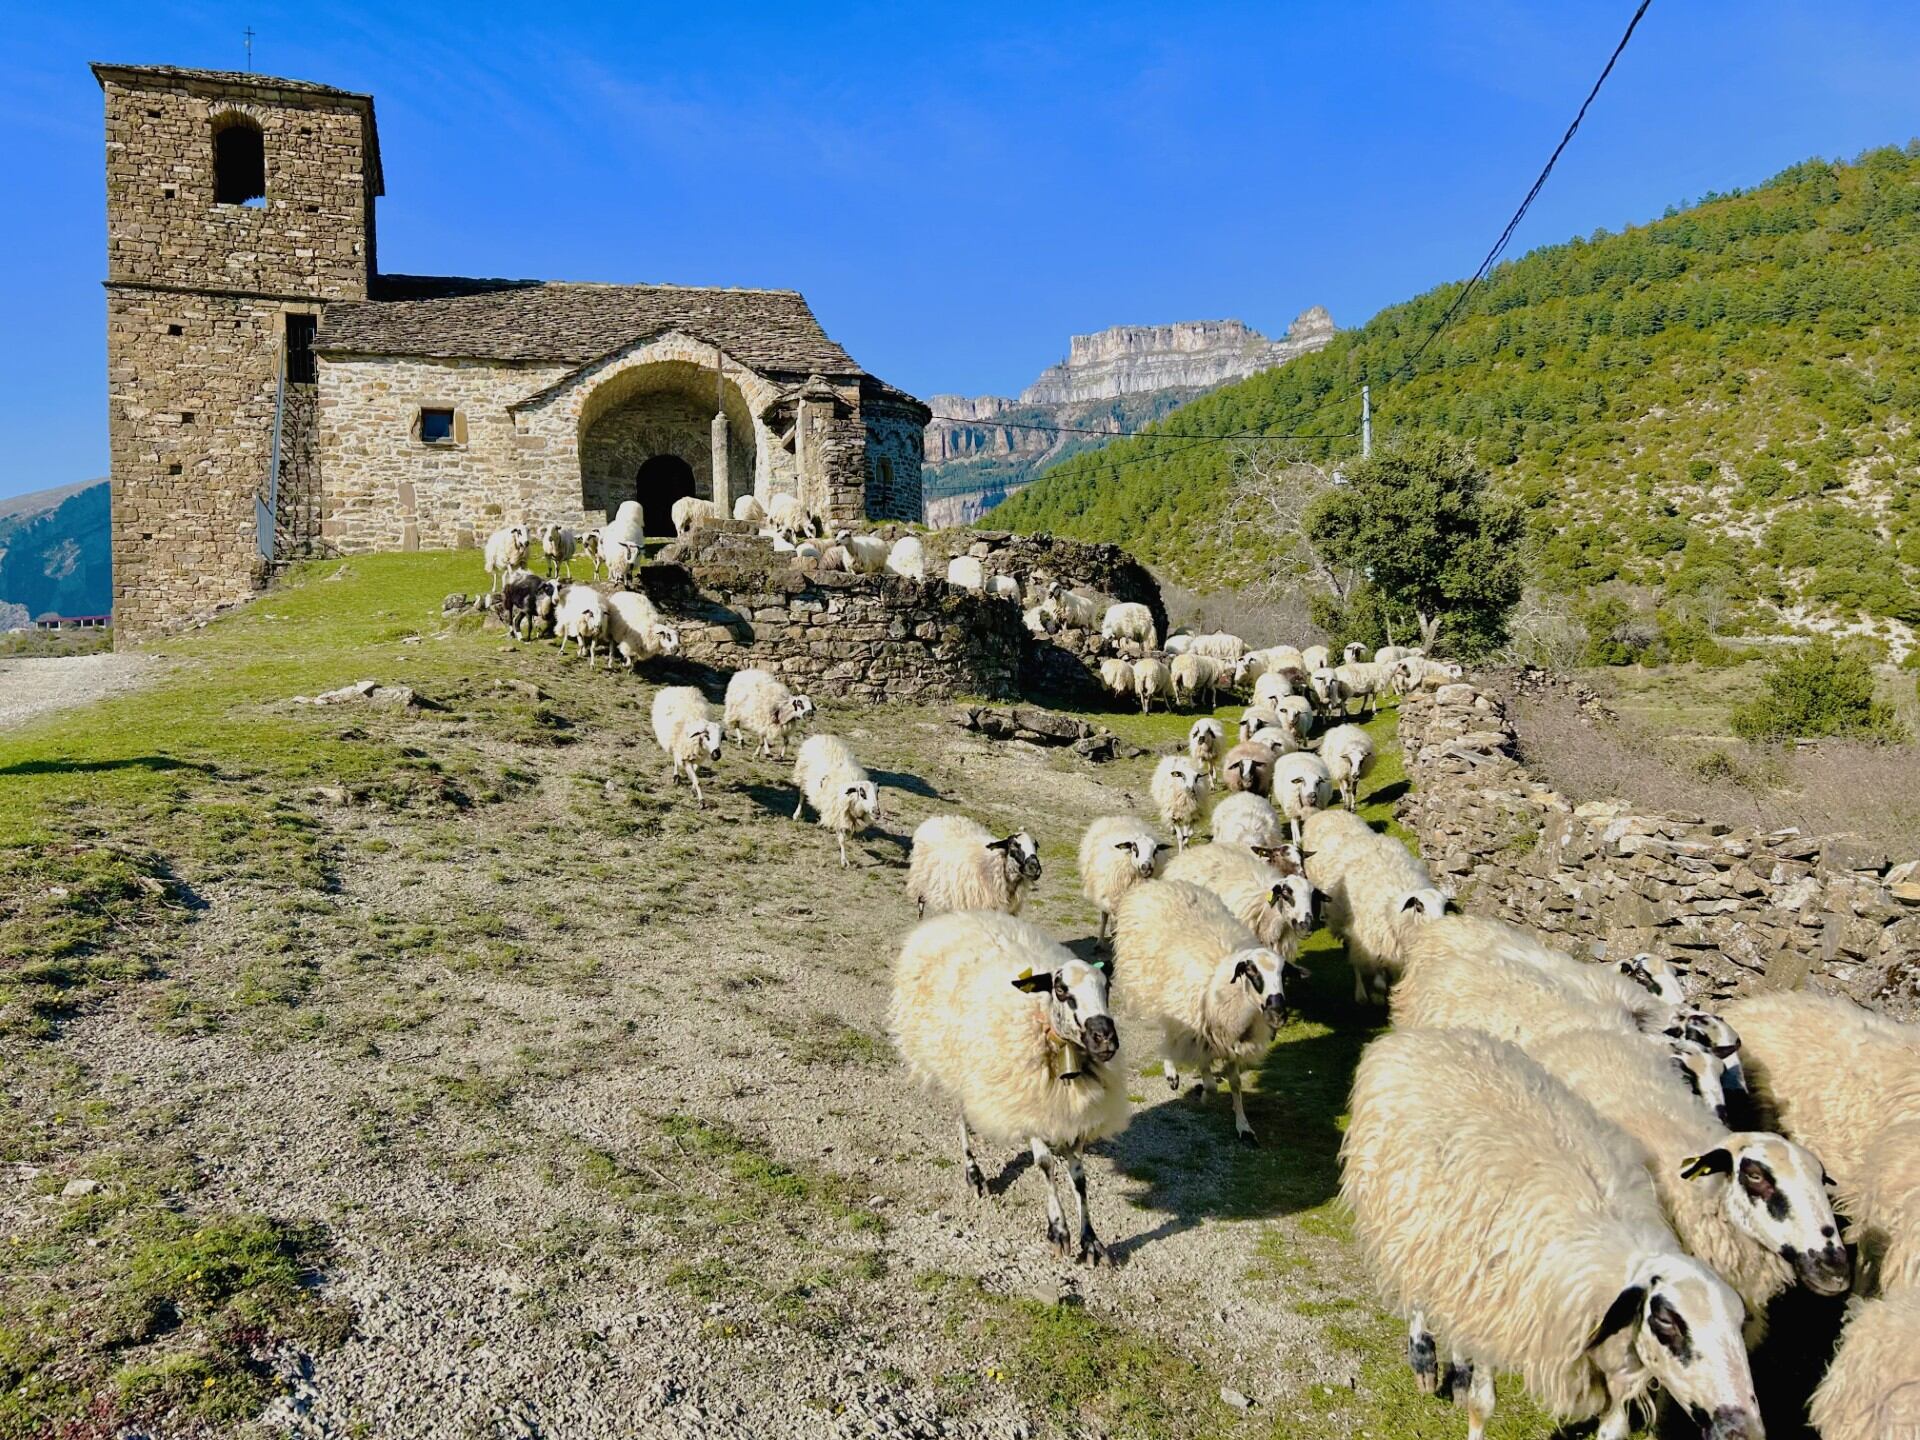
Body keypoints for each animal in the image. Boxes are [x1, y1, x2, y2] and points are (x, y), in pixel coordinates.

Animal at [791, 734, 879, 868]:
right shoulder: (837, 813)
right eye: (862, 794)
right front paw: (844, 861)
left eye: (877, 793)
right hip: (802, 775)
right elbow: (842, 840)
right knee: (801, 795)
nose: (876, 812)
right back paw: (797, 814)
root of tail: (820, 735)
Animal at [889, 911, 1127, 1263]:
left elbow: (1080, 1178)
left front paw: (1091, 1241)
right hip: (952, 1062)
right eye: (1060, 989)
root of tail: (955, 917)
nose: (1105, 1038)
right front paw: (1058, 1230)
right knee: (960, 1116)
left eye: (1107, 987)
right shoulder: (1030, 1105)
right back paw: (974, 1173)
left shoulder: (1073, 1115)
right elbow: (1045, 1165)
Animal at [907, 815, 1042, 918]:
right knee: (921, 905)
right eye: (1014, 846)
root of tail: (934, 820)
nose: (1035, 868)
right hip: (921, 881)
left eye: (1036, 847)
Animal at [1111, 879, 1305, 1144]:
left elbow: (1235, 1083)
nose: (1278, 1013)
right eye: (1251, 971)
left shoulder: (1232, 1045)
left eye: (1284, 974)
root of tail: (1157, 883)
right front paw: (1203, 1091)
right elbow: (1211, 1083)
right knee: (1166, 1033)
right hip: (1155, 991)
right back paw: (1172, 1073)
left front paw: (1243, 1126)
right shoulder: (1198, 1033)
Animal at [1342, 1026, 1762, 1440]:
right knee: (1416, 1290)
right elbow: (1482, 1405)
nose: (1743, 1429)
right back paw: (1425, 1357)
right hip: (1403, 1215)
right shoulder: (1498, 1313)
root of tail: (1424, 1035)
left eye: (1739, 1324)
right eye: (1667, 1321)